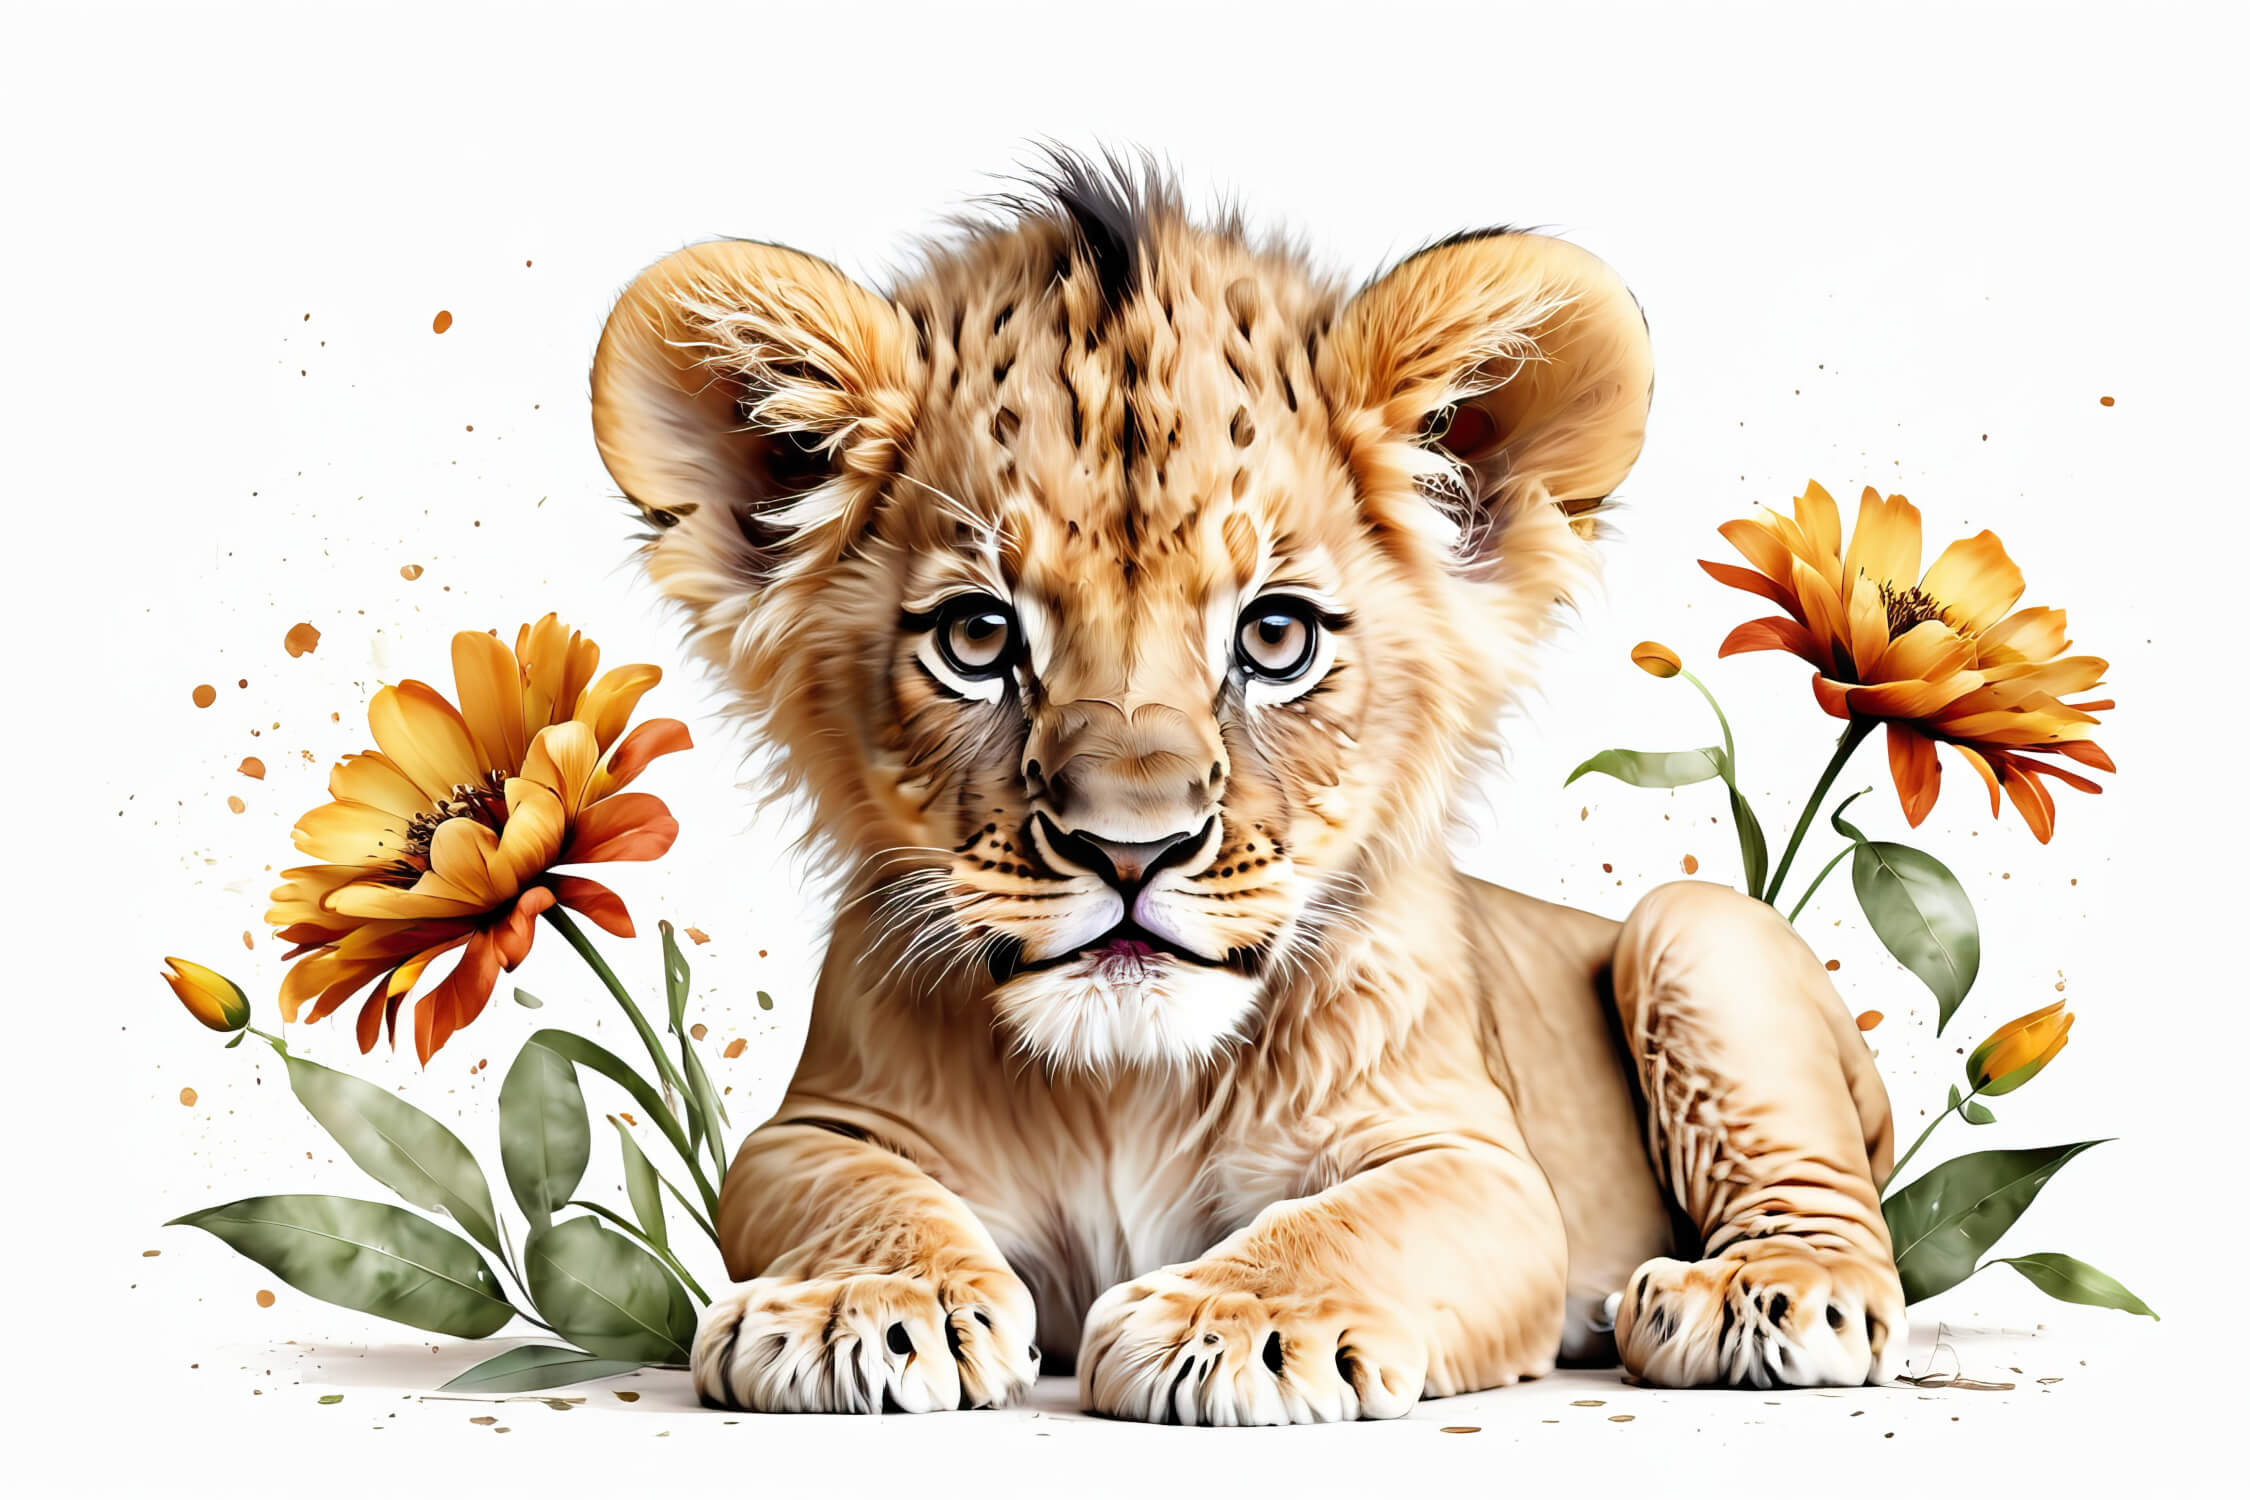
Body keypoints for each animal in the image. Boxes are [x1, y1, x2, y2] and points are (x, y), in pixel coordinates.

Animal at [588, 153, 1904, 1422]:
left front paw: (1241, 1325)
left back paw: (1761, 1294)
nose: (1129, 850)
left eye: (1275, 638)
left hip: (1695, 928)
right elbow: (853, 1191)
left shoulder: (1474, 1159)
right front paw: (857, 1304)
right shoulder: (813, 1128)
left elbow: (1352, 1221)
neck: (1127, 1085)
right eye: (976, 637)